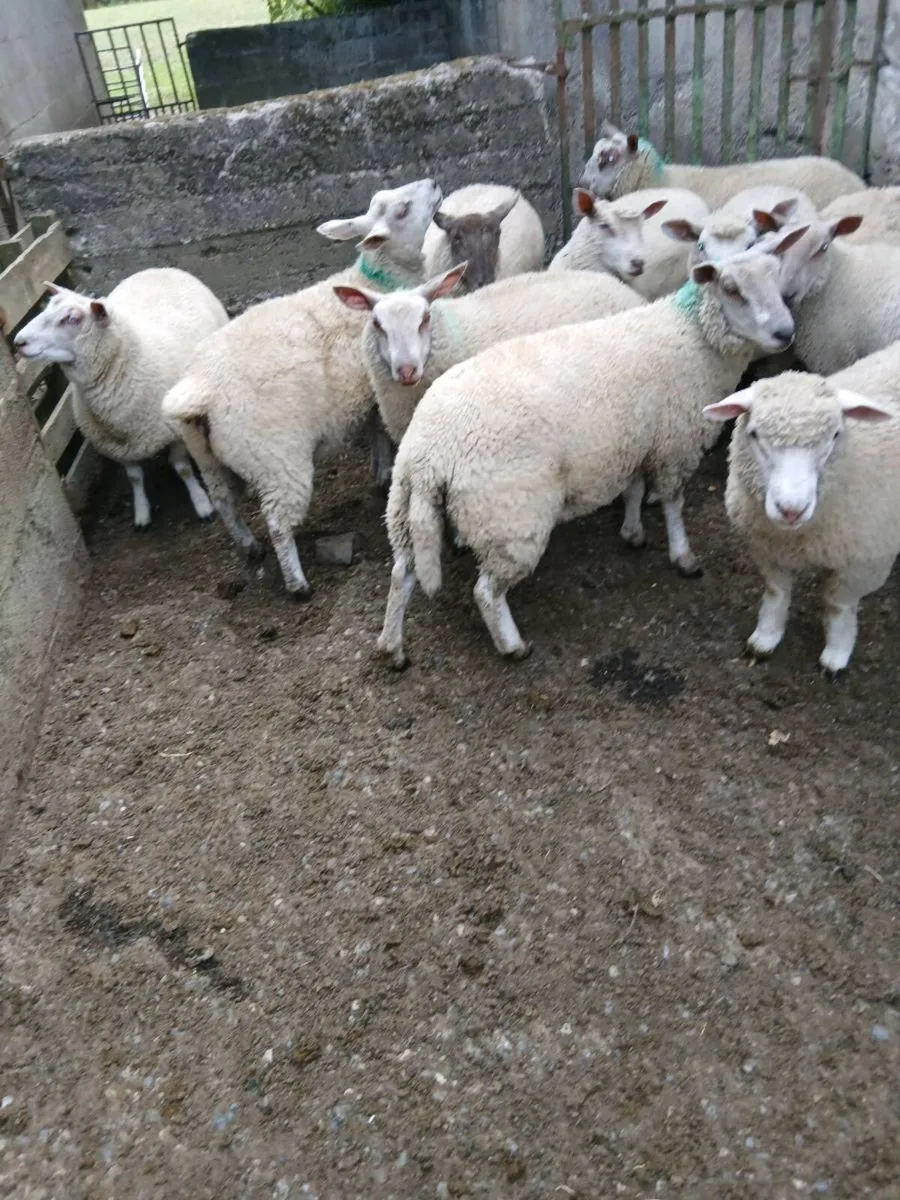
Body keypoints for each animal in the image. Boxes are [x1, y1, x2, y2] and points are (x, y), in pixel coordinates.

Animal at [13, 268, 228, 528]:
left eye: (71, 318)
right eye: (45, 307)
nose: (18, 342)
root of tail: (157, 269)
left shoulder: (174, 432)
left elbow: (183, 468)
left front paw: (201, 503)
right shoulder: (117, 445)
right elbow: (134, 477)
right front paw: (142, 513)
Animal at [161, 177, 443, 596]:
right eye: (403, 209)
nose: (435, 184)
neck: (375, 284)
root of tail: (201, 389)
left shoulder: (370, 396)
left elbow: (375, 434)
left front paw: (379, 473)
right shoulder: (382, 386)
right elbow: (382, 434)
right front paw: (384, 472)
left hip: (209, 457)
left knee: (224, 502)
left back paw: (248, 547)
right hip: (277, 460)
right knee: (279, 523)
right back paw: (297, 584)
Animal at [375, 230, 804, 667]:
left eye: (776, 273)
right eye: (731, 289)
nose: (784, 333)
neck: (691, 337)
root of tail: (429, 450)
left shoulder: (633, 440)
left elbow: (633, 489)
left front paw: (632, 531)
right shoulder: (675, 442)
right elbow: (673, 503)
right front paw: (683, 556)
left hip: (405, 509)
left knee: (401, 573)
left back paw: (392, 646)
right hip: (510, 516)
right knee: (486, 592)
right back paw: (512, 645)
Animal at [703, 349, 900, 674]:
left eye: (835, 435)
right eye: (754, 434)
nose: (791, 510)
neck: (797, 537)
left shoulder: (864, 563)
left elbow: (838, 605)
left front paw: (836, 652)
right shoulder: (766, 546)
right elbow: (776, 591)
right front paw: (766, 637)